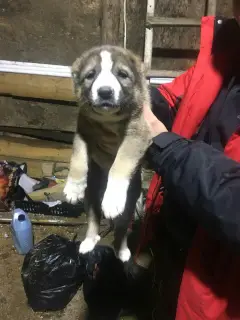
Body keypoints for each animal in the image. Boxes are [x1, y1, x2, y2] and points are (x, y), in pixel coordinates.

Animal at [62, 45, 151, 262]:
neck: (108, 120)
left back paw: (122, 251)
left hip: (129, 206)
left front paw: (112, 199)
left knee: (121, 229)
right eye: (90, 75)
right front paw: (73, 187)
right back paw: (88, 242)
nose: (105, 92)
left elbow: (119, 164)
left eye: (122, 75)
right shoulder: (83, 130)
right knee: (93, 220)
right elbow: (77, 159)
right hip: (91, 197)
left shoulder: (137, 133)